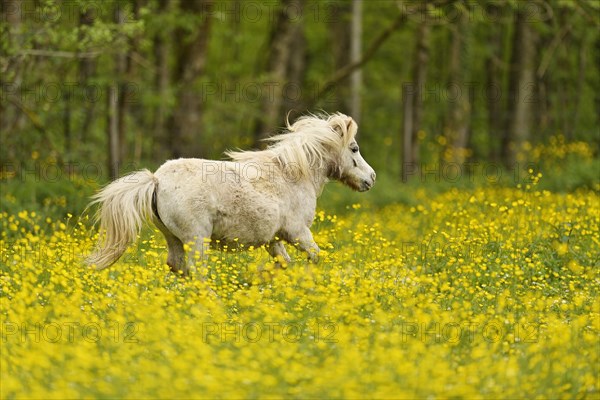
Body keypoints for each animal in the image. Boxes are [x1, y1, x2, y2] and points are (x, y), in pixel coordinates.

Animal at [85, 112, 376, 276]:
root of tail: (156, 180)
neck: (292, 175)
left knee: (177, 269)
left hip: (174, 239)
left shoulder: (274, 240)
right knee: (197, 274)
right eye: (354, 148)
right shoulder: (298, 233)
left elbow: (283, 264)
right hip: (197, 240)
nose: (370, 178)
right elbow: (315, 257)